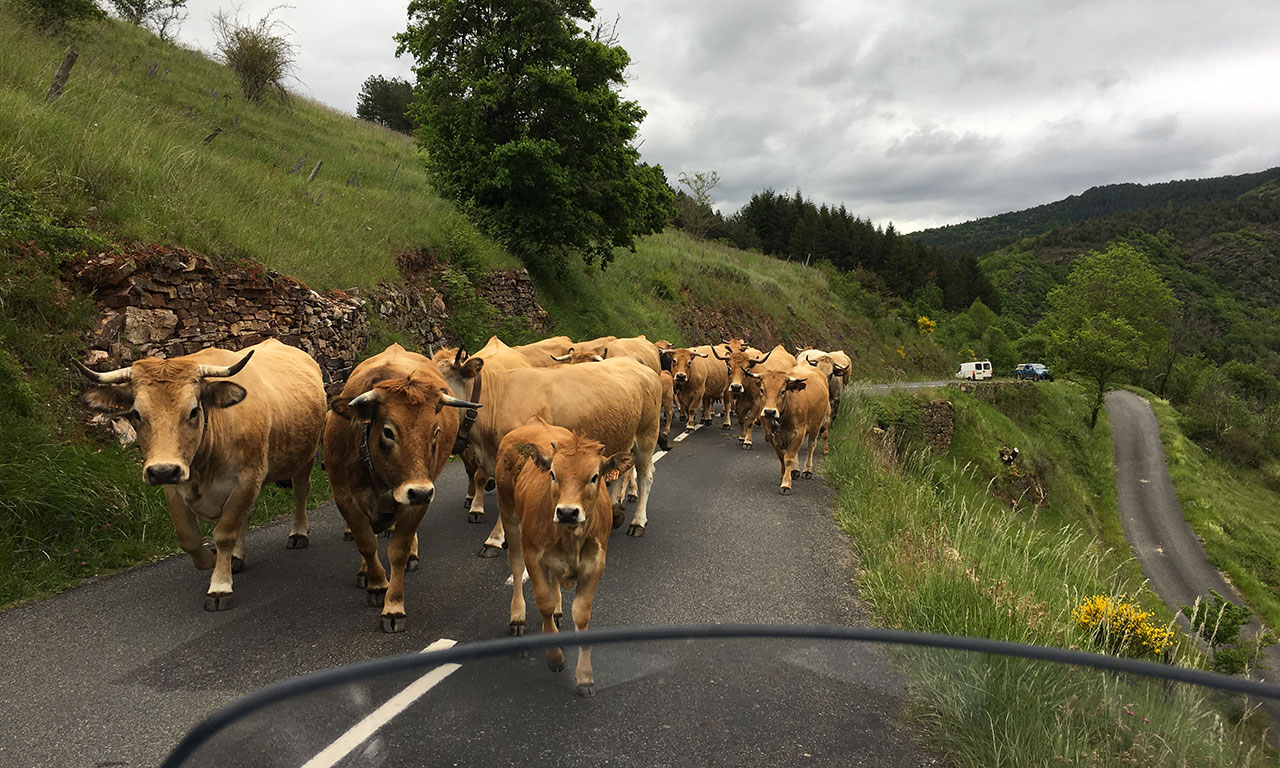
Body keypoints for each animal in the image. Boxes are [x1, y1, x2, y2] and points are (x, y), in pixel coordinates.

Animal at [74, 339, 324, 610]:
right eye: (136, 414)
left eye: (194, 411)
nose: (162, 470)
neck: (204, 463)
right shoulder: (174, 485)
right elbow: (189, 538)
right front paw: (212, 560)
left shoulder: (247, 479)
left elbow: (224, 534)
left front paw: (220, 586)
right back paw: (236, 557)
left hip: (304, 458)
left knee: (300, 493)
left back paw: (298, 533)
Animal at [325, 343, 480, 632]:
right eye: (388, 431)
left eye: (435, 431)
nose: (418, 491)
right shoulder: (345, 498)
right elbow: (365, 542)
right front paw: (376, 583)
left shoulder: (418, 500)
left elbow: (398, 550)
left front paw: (393, 606)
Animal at [434, 352, 662, 551]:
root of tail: (635, 362)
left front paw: (495, 539)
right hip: (621, 438)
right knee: (617, 475)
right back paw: (615, 514)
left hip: (646, 436)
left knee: (646, 477)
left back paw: (637, 522)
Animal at [496, 417, 633, 697]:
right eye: (552, 474)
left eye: (594, 477)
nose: (568, 512)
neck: (571, 539)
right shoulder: (533, 555)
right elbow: (544, 601)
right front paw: (555, 657)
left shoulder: (595, 564)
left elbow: (581, 613)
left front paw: (585, 676)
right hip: (509, 518)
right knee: (515, 566)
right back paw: (517, 616)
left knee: (555, 579)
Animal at [748, 363, 831, 495]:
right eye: (762, 390)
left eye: (782, 391)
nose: (770, 411)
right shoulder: (771, 434)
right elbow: (782, 456)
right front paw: (784, 475)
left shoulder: (799, 432)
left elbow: (789, 458)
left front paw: (786, 484)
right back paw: (795, 471)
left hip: (816, 426)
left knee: (810, 446)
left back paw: (807, 470)